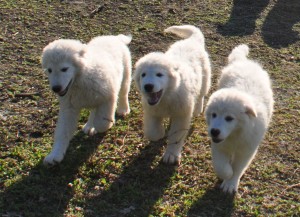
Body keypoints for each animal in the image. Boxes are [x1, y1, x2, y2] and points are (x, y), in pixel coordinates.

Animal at [41, 34, 132, 166]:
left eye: (64, 69)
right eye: (49, 70)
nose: (56, 88)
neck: (81, 78)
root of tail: (115, 37)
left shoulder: (109, 96)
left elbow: (102, 122)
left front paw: (107, 124)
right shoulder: (68, 107)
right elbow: (62, 131)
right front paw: (55, 155)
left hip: (126, 73)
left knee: (124, 92)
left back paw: (123, 109)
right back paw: (90, 125)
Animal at [135, 25, 212, 164]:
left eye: (159, 74)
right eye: (143, 75)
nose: (148, 86)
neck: (167, 96)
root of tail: (192, 40)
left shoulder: (181, 115)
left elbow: (176, 137)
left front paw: (171, 155)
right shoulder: (151, 111)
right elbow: (152, 131)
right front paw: (160, 133)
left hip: (205, 78)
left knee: (201, 94)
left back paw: (198, 108)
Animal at [205, 44, 274, 193]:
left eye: (229, 118)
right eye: (214, 115)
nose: (214, 131)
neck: (235, 135)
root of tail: (244, 62)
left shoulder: (246, 150)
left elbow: (238, 167)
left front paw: (231, 182)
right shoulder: (219, 146)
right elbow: (220, 165)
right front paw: (227, 174)